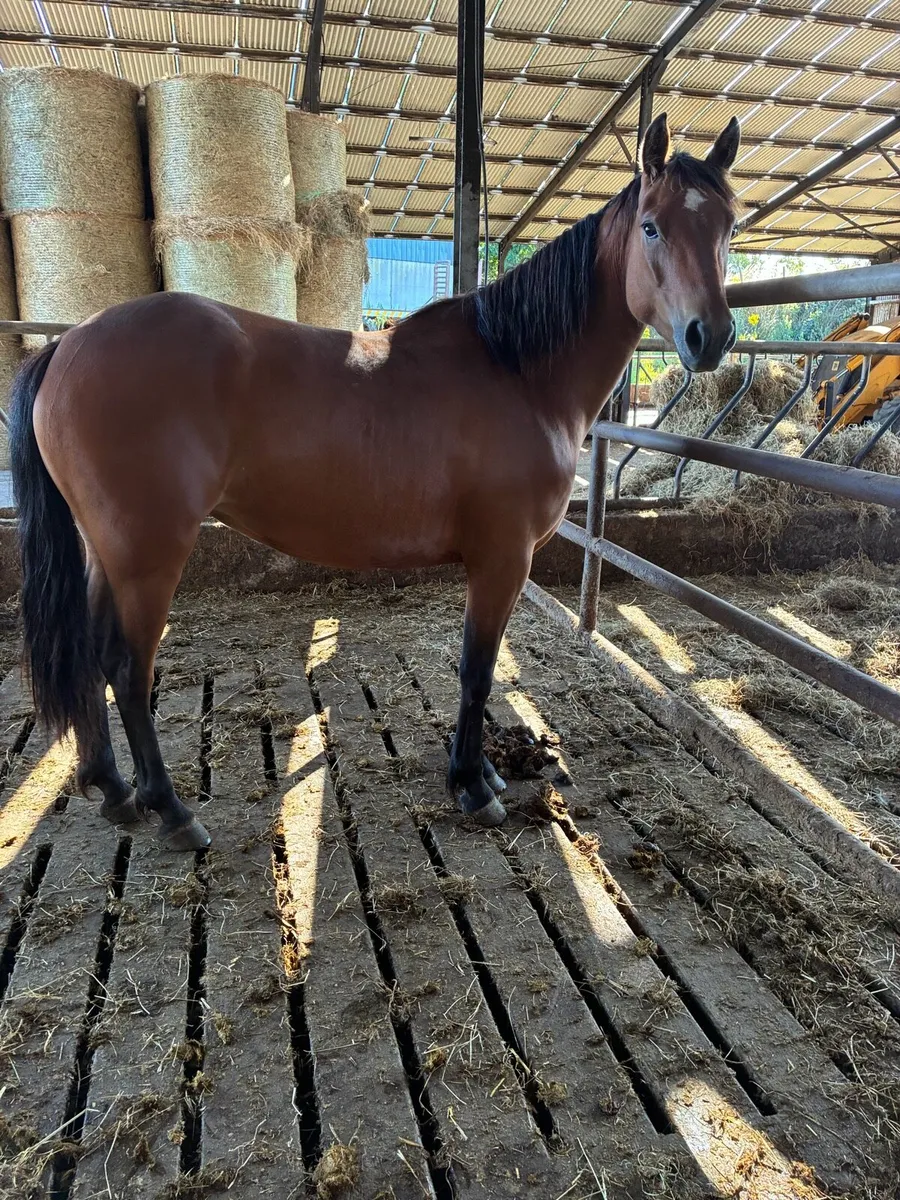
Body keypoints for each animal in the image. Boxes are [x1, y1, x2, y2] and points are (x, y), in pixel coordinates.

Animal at [9, 112, 739, 850]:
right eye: (651, 226)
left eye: (727, 226)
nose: (708, 337)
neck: (518, 370)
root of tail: (67, 345)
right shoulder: (502, 559)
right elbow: (478, 671)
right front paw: (473, 787)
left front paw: (484, 772)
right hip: (148, 556)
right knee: (129, 669)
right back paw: (171, 809)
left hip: (107, 552)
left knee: (91, 655)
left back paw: (114, 789)